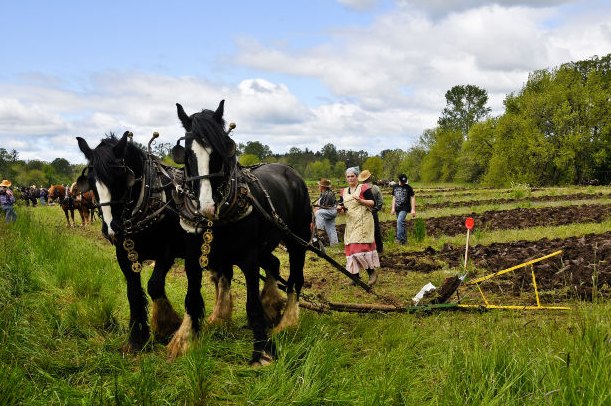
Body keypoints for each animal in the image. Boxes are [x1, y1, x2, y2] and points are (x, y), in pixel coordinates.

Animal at [76, 132, 204, 358]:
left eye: (120, 177)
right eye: (90, 182)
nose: (111, 228)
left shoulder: (166, 252)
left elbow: (154, 285)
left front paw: (167, 325)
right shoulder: (124, 254)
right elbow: (133, 292)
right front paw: (136, 338)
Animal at [175, 100, 314, 364]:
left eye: (222, 151)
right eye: (187, 154)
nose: (206, 207)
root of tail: (292, 173)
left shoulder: (249, 257)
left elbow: (251, 304)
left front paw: (262, 351)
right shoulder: (195, 257)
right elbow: (194, 298)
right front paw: (185, 340)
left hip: (297, 239)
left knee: (295, 279)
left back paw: (287, 322)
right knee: (273, 263)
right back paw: (271, 305)